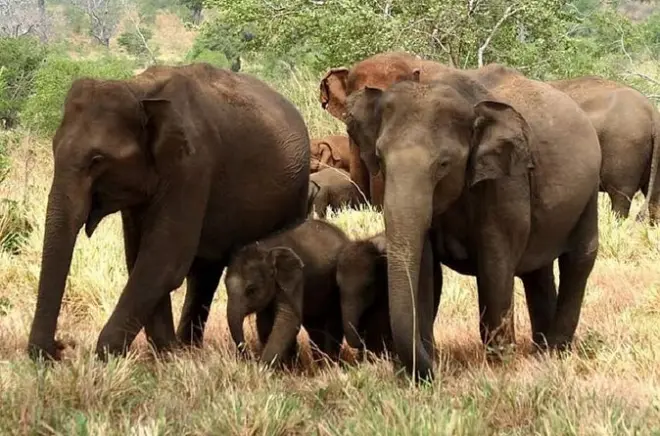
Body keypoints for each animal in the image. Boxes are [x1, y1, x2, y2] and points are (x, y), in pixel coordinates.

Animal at [27, 62, 311, 362]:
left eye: (97, 160)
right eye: (54, 149)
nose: (59, 347)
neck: (138, 89)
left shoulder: (192, 166)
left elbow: (164, 259)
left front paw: (108, 355)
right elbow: (141, 257)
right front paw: (167, 354)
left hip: (296, 194)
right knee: (204, 272)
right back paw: (188, 348)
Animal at [225, 219, 349, 367]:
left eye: (251, 290)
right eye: (225, 287)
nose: (250, 358)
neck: (266, 248)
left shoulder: (295, 277)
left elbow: (288, 319)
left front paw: (263, 368)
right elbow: (264, 323)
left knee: (333, 324)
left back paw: (329, 364)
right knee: (314, 326)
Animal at [345, 63, 602, 381]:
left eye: (444, 163)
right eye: (380, 157)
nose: (434, 372)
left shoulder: (506, 181)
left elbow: (495, 262)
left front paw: (501, 365)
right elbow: (425, 267)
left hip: (589, 191)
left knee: (579, 258)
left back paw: (554, 351)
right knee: (537, 271)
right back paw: (541, 350)